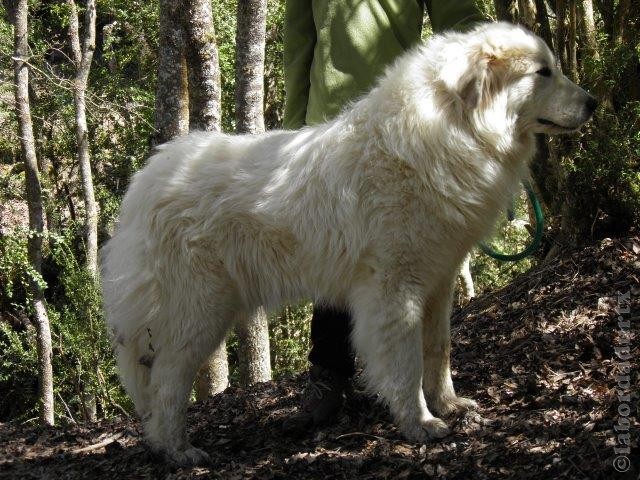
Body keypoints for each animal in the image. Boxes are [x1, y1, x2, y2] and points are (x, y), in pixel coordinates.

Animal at [100, 22, 596, 464]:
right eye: (543, 72)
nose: (593, 102)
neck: (447, 134)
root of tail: (145, 182)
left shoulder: (439, 282)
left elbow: (438, 351)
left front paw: (449, 405)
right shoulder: (393, 291)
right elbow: (406, 364)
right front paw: (420, 423)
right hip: (199, 311)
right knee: (166, 384)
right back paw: (177, 449)